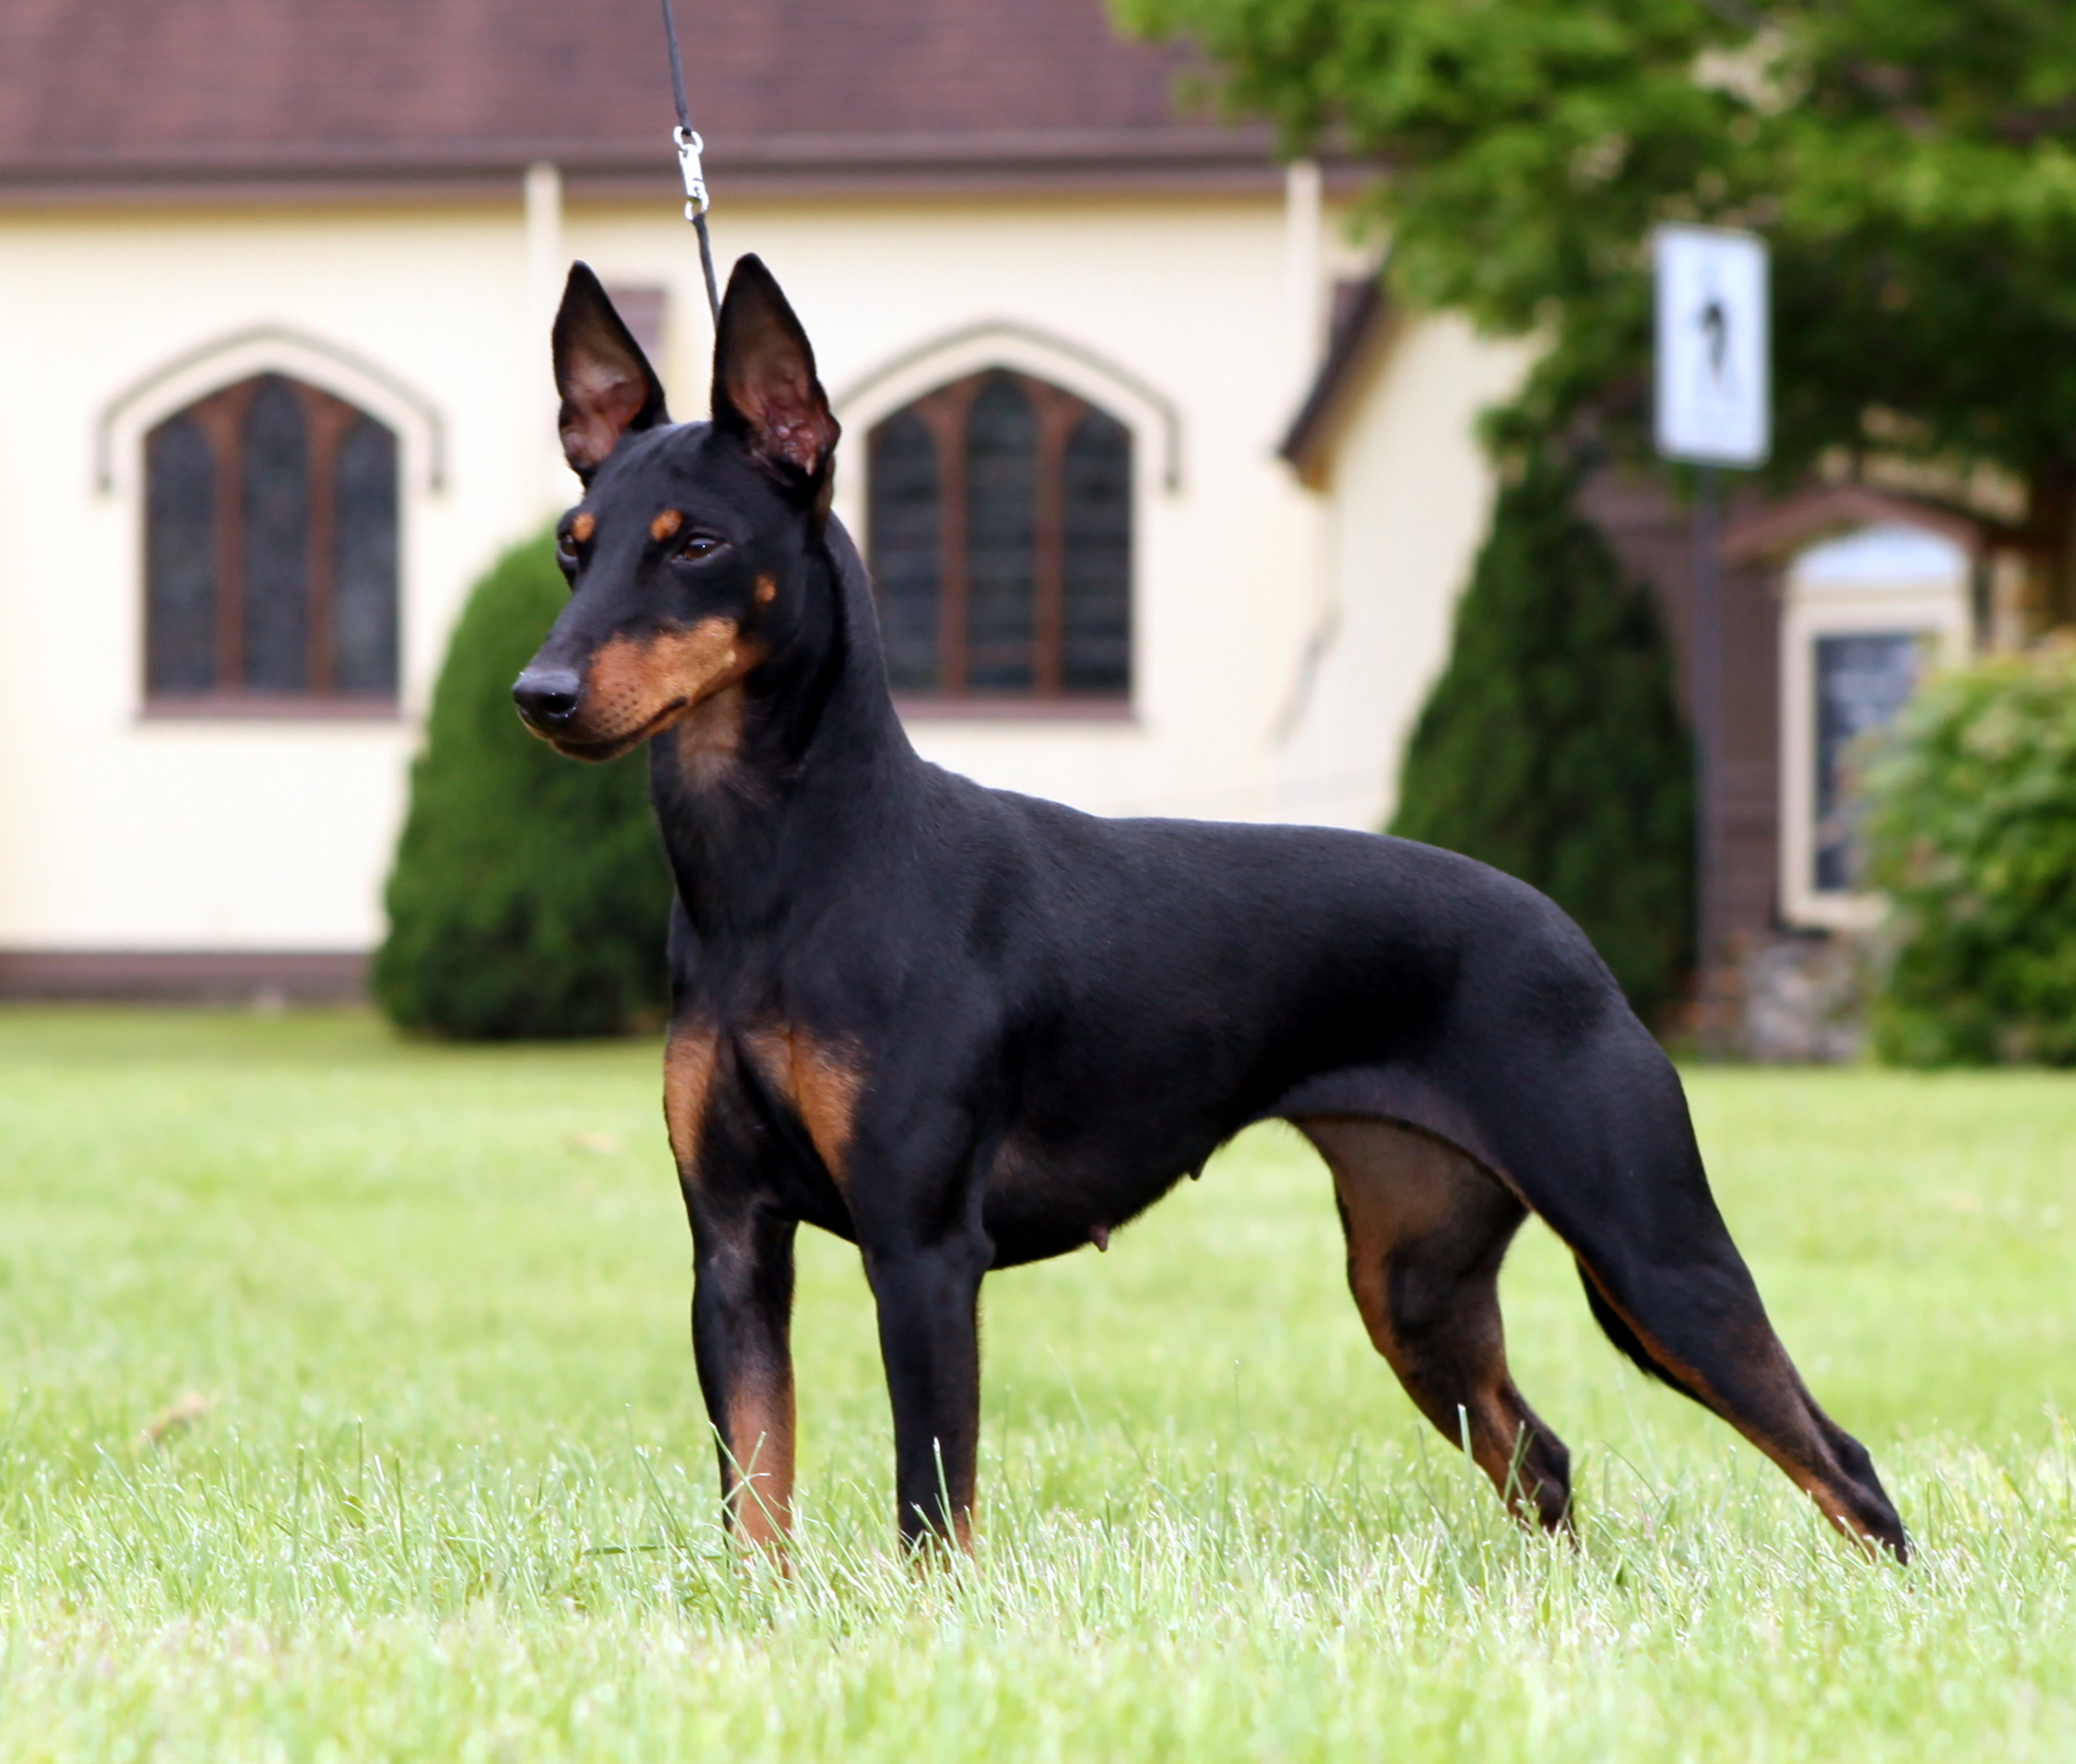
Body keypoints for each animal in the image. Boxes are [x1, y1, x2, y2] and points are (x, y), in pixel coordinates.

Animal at [510, 251, 1901, 1552]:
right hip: (1416, 1283)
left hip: (1650, 1251)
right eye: (573, 550)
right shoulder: (732, 1246)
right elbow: (757, 1497)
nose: (540, 692)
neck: (785, 872)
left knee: (1841, 1463)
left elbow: (931, 1504)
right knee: (1542, 1456)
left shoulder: (923, 1250)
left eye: (696, 544)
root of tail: (1566, 932)